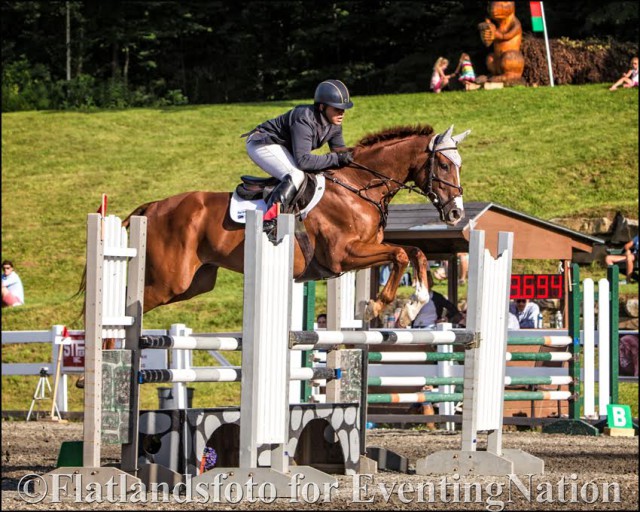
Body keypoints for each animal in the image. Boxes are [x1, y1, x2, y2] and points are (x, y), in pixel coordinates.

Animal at [121, 124, 470, 324]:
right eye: (443, 164)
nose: (456, 214)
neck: (358, 187)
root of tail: (152, 206)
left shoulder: (368, 247)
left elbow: (415, 252)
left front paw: (414, 303)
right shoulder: (343, 256)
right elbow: (399, 255)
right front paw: (377, 305)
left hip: (194, 283)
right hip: (168, 282)